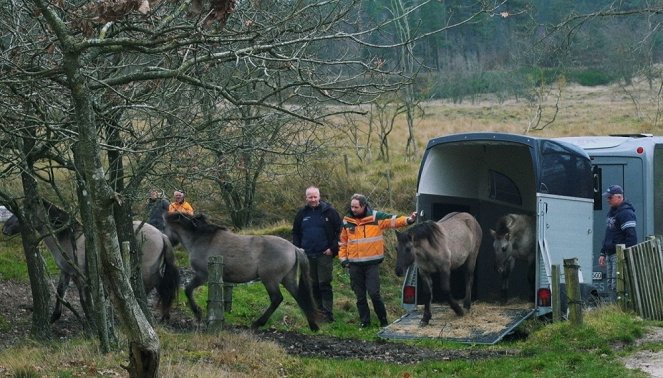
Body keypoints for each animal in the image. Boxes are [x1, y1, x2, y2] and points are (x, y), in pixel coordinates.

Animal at [1, 201, 182, 322]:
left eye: (22, 211)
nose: (5, 229)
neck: (70, 238)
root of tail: (161, 235)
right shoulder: (66, 272)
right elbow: (60, 291)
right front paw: (54, 317)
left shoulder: (80, 276)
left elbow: (84, 299)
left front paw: (91, 321)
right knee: (162, 288)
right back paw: (163, 315)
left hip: (145, 271)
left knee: (153, 287)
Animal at [165, 213, 322, 330]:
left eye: (164, 226)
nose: (166, 242)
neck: (202, 238)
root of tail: (294, 248)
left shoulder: (203, 275)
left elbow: (188, 290)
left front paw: (198, 314)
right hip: (288, 279)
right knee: (300, 297)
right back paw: (313, 326)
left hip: (270, 280)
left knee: (277, 298)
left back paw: (257, 323)